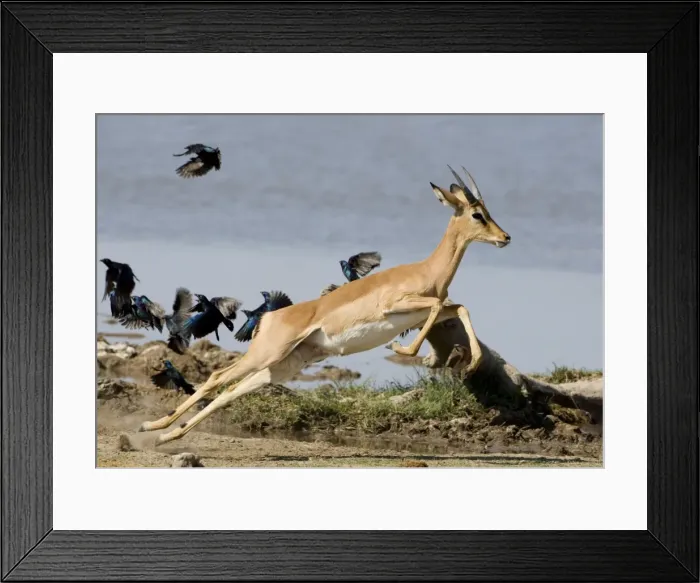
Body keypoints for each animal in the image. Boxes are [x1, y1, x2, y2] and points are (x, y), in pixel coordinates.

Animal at [140, 165, 511, 445]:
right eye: (477, 214)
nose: (505, 237)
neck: (427, 270)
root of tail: (270, 317)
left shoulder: (424, 311)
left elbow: (459, 307)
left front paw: (472, 363)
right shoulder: (397, 308)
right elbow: (439, 307)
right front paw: (400, 348)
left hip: (281, 366)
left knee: (230, 391)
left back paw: (164, 434)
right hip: (268, 355)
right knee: (218, 376)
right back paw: (156, 428)